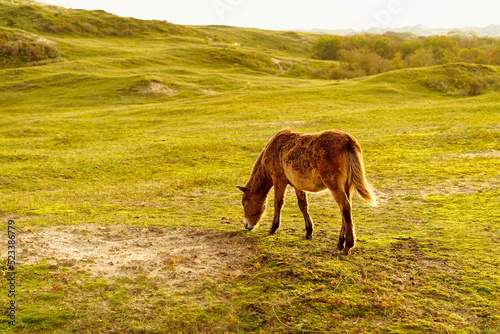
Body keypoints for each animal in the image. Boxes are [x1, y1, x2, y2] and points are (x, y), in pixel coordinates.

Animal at [237, 129, 376, 254]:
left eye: (243, 203)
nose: (246, 225)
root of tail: (348, 141)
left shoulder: (278, 179)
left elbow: (278, 203)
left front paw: (273, 229)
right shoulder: (297, 185)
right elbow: (303, 205)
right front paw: (309, 231)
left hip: (334, 184)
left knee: (345, 206)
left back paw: (348, 246)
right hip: (347, 185)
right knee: (346, 209)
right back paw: (340, 242)